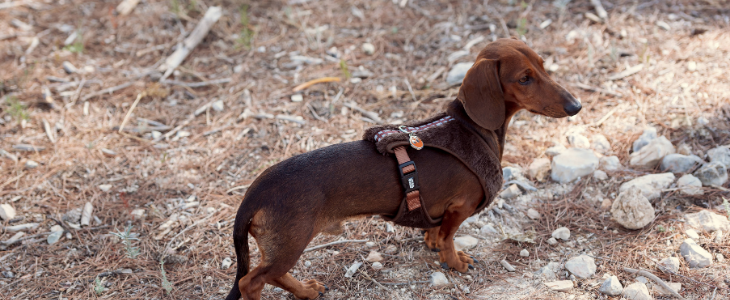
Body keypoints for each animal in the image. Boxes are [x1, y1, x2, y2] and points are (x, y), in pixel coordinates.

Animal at [226, 38, 580, 300]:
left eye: (544, 66)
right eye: (524, 78)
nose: (575, 106)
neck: (471, 127)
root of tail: (253, 195)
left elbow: (437, 232)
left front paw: (434, 243)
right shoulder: (460, 207)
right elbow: (450, 238)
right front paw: (455, 261)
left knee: (271, 277)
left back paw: (306, 291)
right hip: (291, 243)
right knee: (250, 282)